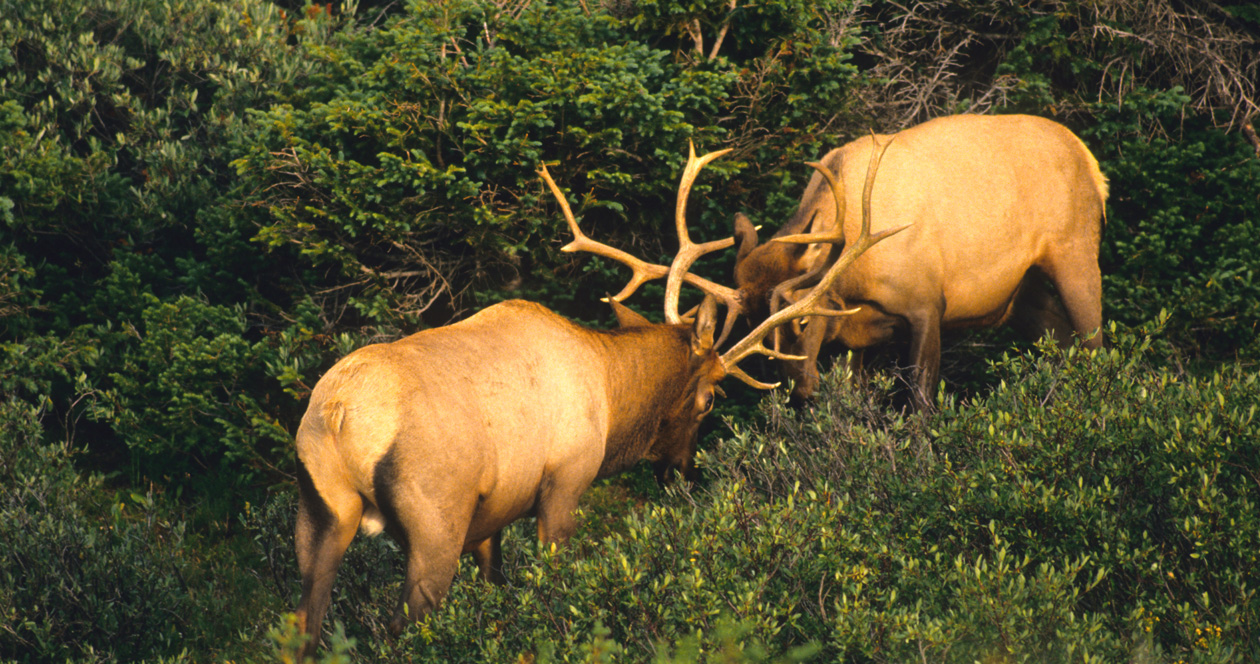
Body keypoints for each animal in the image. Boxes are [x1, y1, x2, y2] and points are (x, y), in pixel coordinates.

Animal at [290, 143, 906, 660]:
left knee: (304, 626)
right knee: (404, 626)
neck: (610, 397)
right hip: (434, 519)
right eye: (708, 400)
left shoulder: (492, 516)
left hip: (320, 512)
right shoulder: (565, 481)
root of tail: (339, 416)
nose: (684, 473)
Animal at [731, 114, 1108, 408]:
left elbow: (920, 404)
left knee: (1095, 348)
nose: (800, 393)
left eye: (804, 321)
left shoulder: (926, 304)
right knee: (1065, 344)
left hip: (1075, 251)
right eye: (754, 329)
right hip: (1022, 292)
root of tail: (1091, 163)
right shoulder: (854, 338)